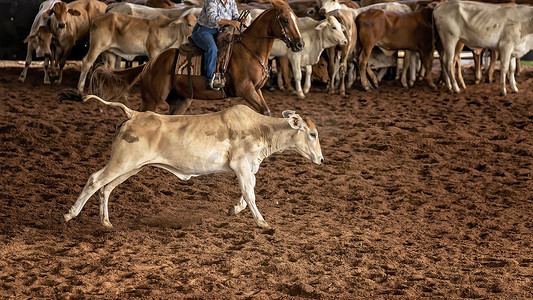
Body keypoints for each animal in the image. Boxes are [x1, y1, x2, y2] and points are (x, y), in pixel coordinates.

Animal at [59, 94, 322, 230]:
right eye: (312, 134)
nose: (320, 159)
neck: (260, 127)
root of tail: (133, 114)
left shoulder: (249, 167)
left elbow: (246, 194)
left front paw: (235, 209)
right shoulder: (241, 165)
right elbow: (250, 193)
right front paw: (262, 222)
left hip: (131, 167)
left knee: (107, 188)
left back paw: (105, 222)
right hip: (121, 162)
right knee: (95, 180)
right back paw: (70, 215)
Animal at [89, 0, 302, 116]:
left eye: (295, 19)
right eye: (285, 20)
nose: (300, 44)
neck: (250, 50)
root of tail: (151, 63)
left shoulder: (256, 90)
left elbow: (266, 112)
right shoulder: (246, 90)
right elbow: (265, 112)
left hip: (181, 101)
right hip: (152, 100)